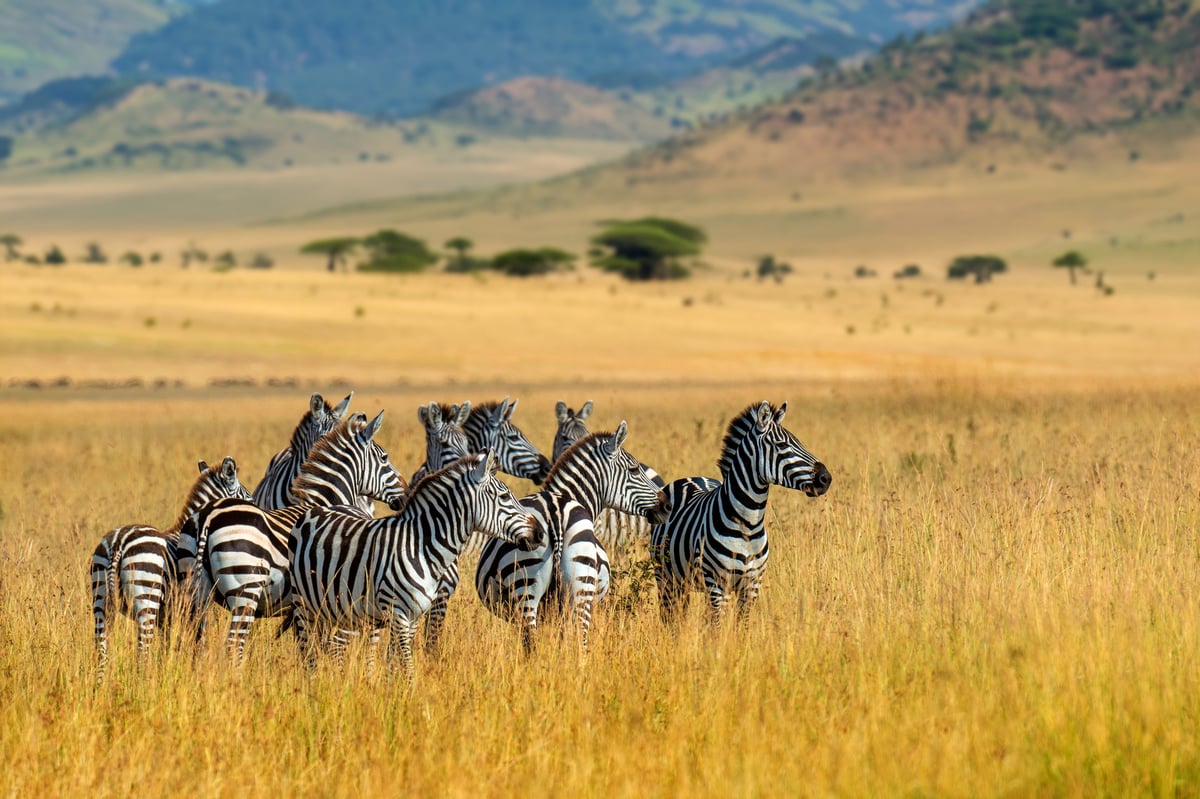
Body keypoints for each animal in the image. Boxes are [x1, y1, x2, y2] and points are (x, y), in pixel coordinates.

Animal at [90, 456, 250, 680]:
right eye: (248, 498)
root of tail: (118, 542)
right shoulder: (198, 604)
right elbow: (197, 642)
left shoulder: (167, 616)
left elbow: (168, 647)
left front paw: (168, 670)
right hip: (146, 599)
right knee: (142, 653)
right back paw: (144, 683)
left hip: (100, 600)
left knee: (102, 651)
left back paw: (100, 685)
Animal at [184, 411, 406, 661]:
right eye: (385, 458)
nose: (406, 494)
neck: (327, 503)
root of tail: (208, 517)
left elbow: (308, 647)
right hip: (246, 591)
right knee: (234, 644)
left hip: (199, 595)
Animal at [288, 450, 544, 681]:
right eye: (504, 497)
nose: (540, 533)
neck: (421, 547)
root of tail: (317, 509)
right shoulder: (398, 612)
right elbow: (408, 668)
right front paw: (410, 699)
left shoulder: (414, 616)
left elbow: (394, 664)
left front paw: (394, 694)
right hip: (303, 604)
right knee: (309, 653)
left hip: (336, 608)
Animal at [475, 422, 671, 652]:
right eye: (634, 469)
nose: (667, 505)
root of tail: (556, 511)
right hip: (577, 586)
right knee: (577, 642)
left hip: (529, 587)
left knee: (535, 645)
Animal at [650, 401, 832, 626]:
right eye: (782, 445)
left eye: (799, 442)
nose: (826, 478)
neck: (749, 524)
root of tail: (690, 478)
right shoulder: (718, 585)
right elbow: (717, 629)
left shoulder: (752, 586)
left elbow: (741, 628)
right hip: (665, 577)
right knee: (669, 617)